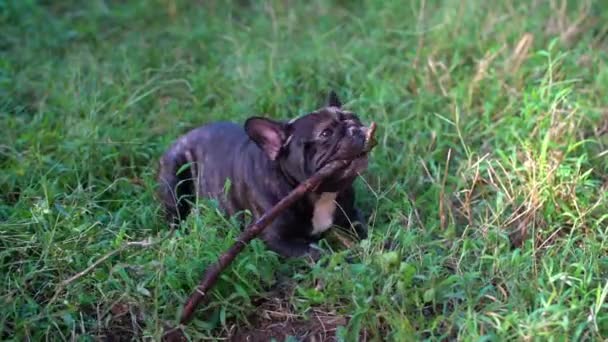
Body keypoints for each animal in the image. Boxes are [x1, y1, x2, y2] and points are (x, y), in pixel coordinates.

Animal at [157, 91, 370, 256]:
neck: (319, 194)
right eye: (326, 133)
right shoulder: (276, 238)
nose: (355, 128)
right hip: (174, 179)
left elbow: (364, 232)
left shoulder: (352, 215)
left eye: (355, 117)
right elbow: (318, 254)